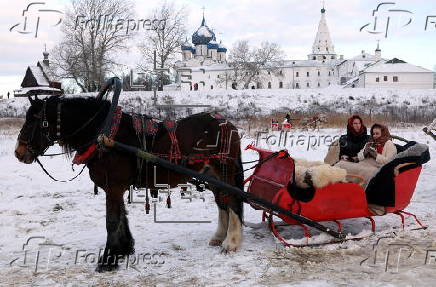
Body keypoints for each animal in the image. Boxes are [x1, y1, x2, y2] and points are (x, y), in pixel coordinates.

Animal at [14, 95, 245, 274]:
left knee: (232, 201)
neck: (104, 135)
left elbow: (112, 221)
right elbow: (122, 218)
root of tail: (228, 124)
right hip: (211, 176)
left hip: (224, 172)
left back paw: (231, 243)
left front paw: (108, 260)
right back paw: (219, 237)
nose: (18, 152)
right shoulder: (115, 188)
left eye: (34, 120)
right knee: (222, 202)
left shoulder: (114, 187)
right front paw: (124, 250)